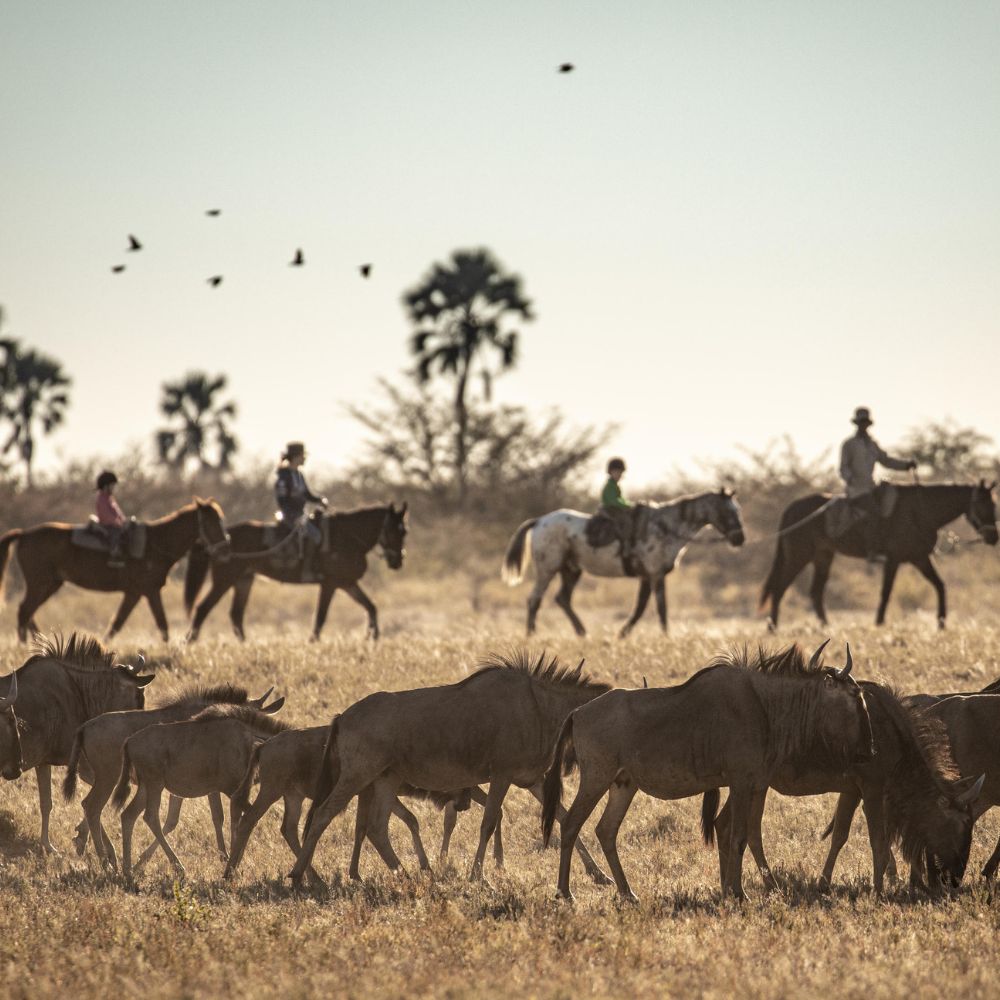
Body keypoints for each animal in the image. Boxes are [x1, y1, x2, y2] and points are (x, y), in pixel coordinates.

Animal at [0, 499, 230, 642]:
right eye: (210, 522)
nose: (225, 550)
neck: (155, 543)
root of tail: (24, 534)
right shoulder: (149, 591)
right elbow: (162, 623)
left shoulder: (134, 593)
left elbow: (117, 624)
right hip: (39, 583)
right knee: (25, 610)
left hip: (51, 584)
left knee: (28, 612)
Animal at [183, 503, 408, 642]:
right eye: (392, 530)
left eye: (404, 531)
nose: (397, 561)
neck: (347, 537)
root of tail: (219, 540)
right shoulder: (330, 584)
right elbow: (320, 617)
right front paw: (313, 642)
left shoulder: (347, 583)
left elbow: (371, 606)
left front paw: (372, 637)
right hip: (224, 580)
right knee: (203, 609)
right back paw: (189, 642)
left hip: (244, 580)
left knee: (236, 615)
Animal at [502, 488, 745, 637]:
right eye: (728, 511)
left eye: (738, 510)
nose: (740, 539)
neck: (666, 527)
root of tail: (539, 521)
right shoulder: (655, 574)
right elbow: (660, 608)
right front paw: (666, 636)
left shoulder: (647, 576)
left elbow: (640, 608)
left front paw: (622, 635)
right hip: (548, 569)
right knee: (535, 599)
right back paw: (531, 634)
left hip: (571, 570)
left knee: (562, 599)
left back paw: (582, 632)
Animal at [760, 481, 998, 630]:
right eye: (982, 504)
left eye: (994, 504)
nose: (993, 537)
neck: (920, 511)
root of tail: (791, 509)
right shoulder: (893, 560)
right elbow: (886, 591)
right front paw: (879, 623)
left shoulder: (919, 558)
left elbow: (940, 585)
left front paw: (941, 622)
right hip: (799, 556)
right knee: (780, 588)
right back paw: (773, 627)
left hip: (823, 556)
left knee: (815, 592)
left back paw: (826, 627)